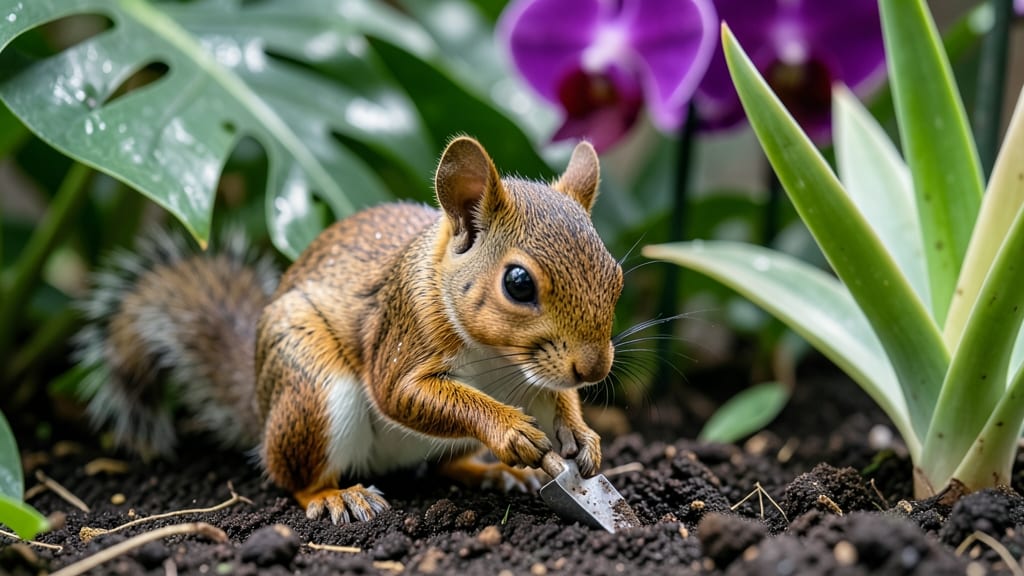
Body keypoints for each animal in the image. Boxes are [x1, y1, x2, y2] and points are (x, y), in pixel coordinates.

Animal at [75, 136, 623, 524]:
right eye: (518, 283)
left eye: (616, 275)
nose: (593, 368)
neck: (501, 362)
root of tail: (260, 406)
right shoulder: (402, 332)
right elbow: (400, 394)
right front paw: (509, 430)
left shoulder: (539, 380)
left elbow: (561, 402)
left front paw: (584, 438)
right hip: (314, 392)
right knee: (291, 476)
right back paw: (337, 496)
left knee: (444, 464)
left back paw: (494, 473)